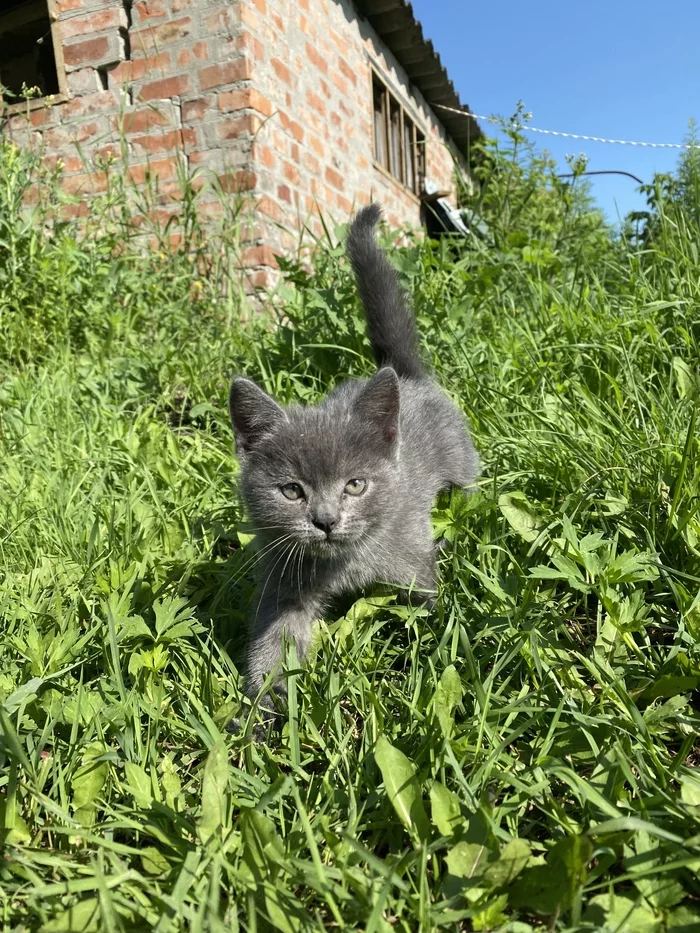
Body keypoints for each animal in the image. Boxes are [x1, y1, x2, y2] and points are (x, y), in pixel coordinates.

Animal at [230, 204, 482, 708]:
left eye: (355, 485)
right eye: (292, 491)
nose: (326, 520)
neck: (344, 565)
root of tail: (405, 376)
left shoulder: (413, 560)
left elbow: (429, 606)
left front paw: (434, 661)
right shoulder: (284, 580)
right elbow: (274, 644)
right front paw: (259, 712)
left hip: (462, 466)